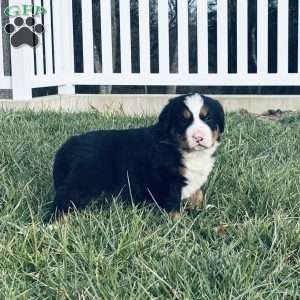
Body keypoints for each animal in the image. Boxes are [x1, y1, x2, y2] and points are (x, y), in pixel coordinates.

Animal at [48, 94, 224, 220]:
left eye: (207, 118)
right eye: (183, 120)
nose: (199, 137)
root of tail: (69, 143)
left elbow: (198, 193)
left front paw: (199, 210)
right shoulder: (168, 178)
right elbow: (173, 203)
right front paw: (178, 225)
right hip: (82, 180)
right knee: (64, 198)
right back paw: (55, 224)